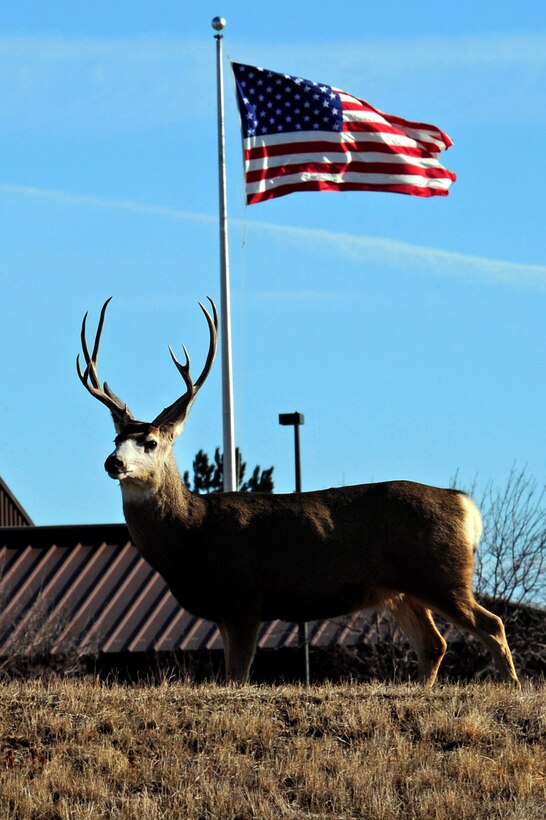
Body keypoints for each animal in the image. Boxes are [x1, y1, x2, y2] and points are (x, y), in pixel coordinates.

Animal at [77, 298, 520, 687]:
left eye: (150, 442)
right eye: (116, 438)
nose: (112, 462)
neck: (192, 535)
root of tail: (467, 506)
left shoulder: (244, 597)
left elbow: (237, 676)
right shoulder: (225, 610)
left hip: (442, 573)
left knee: (492, 623)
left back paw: (512, 686)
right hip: (401, 589)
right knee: (434, 644)